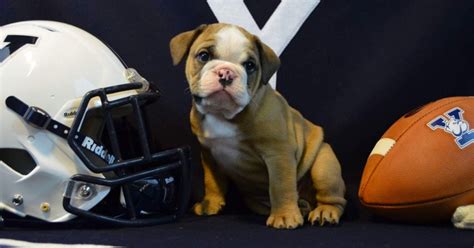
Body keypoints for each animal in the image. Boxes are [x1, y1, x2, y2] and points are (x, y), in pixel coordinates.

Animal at [168, 23, 346, 229]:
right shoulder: (208, 154)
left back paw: (325, 211)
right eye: (204, 56)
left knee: (333, 197)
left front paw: (284, 216)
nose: (226, 72)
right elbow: (212, 181)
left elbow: (280, 186)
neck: (223, 114)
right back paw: (301, 207)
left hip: (324, 165)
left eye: (250, 65)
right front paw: (210, 204)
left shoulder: (278, 153)